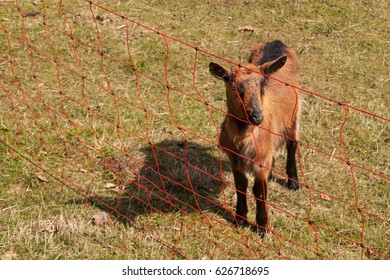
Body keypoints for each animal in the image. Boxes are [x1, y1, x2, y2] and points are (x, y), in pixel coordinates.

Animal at [209, 39, 300, 237]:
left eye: (263, 85)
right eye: (235, 87)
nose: (257, 115)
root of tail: (277, 42)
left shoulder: (260, 162)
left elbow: (260, 191)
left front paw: (262, 227)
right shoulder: (235, 158)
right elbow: (241, 186)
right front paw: (240, 218)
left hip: (293, 116)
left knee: (292, 145)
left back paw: (293, 183)